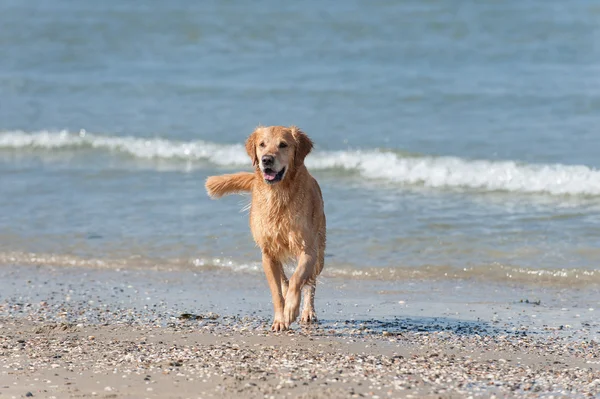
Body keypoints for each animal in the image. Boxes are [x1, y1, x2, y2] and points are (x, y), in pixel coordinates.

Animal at [206, 126, 328, 332]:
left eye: (283, 144)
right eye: (262, 144)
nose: (266, 160)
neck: (278, 195)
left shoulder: (308, 250)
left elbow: (298, 279)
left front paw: (291, 309)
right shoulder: (268, 253)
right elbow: (277, 292)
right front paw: (280, 319)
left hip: (320, 253)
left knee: (310, 283)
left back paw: (307, 311)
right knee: (286, 280)